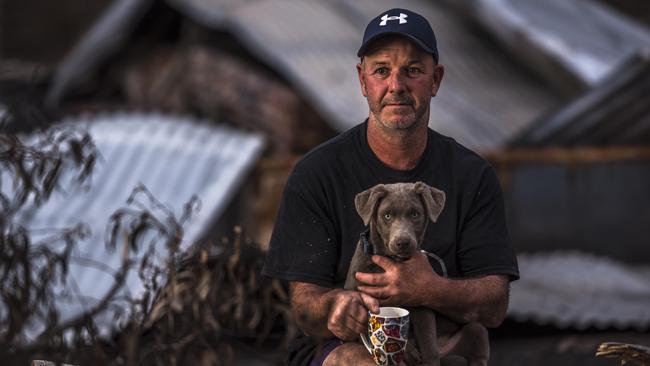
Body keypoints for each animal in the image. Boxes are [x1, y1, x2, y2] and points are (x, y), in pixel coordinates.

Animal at [344, 182, 486, 366]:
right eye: (387, 215)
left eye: (414, 214)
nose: (402, 242)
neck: (394, 260)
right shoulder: (358, 298)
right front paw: (408, 350)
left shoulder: (422, 305)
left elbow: (428, 344)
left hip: (477, 330)